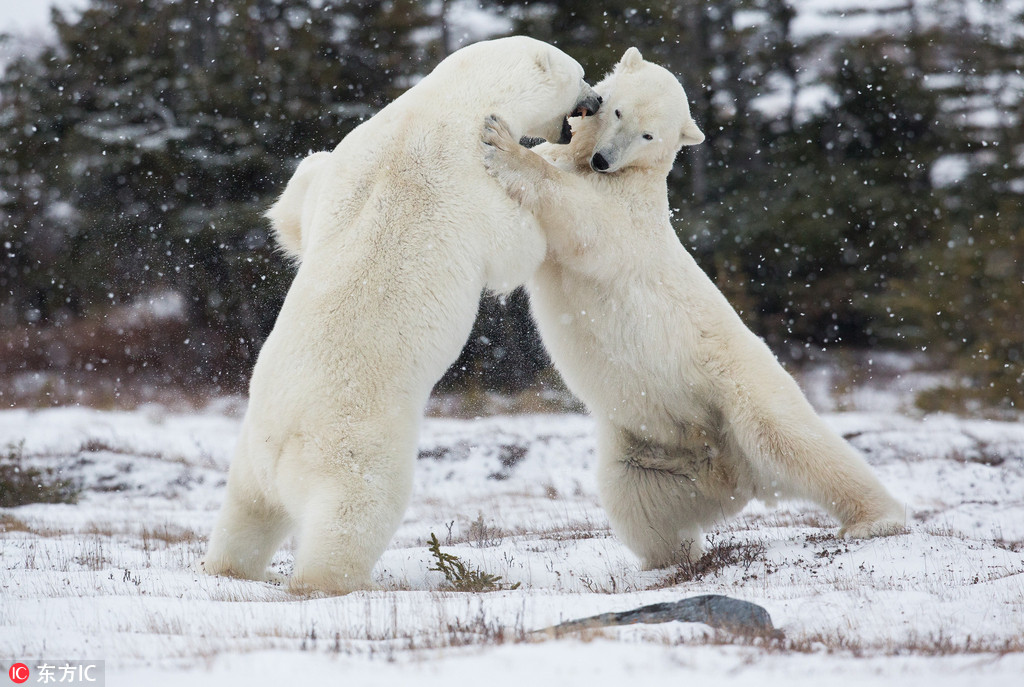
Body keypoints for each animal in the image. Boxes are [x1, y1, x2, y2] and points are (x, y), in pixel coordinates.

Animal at [204, 37, 602, 593]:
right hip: (356, 451)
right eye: (580, 74)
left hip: (249, 449)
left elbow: (300, 206)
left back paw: (226, 567)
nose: (597, 100)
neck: (442, 104)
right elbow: (514, 245)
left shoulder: (358, 151)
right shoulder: (469, 185)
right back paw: (336, 581)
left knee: (245, 512)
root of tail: (280, 454)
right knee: (354, 515)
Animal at [481, 48, 905, 573]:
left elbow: (586, 221)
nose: (603, 159)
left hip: (739, 387)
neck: (623, 173)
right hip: (646, 445)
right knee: (636, 493)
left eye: (649, 135)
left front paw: (500, 141)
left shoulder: (628, 213)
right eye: (617, 112)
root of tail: (729, 471)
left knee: (795, 442)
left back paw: (876, 519)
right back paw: (665, 557)